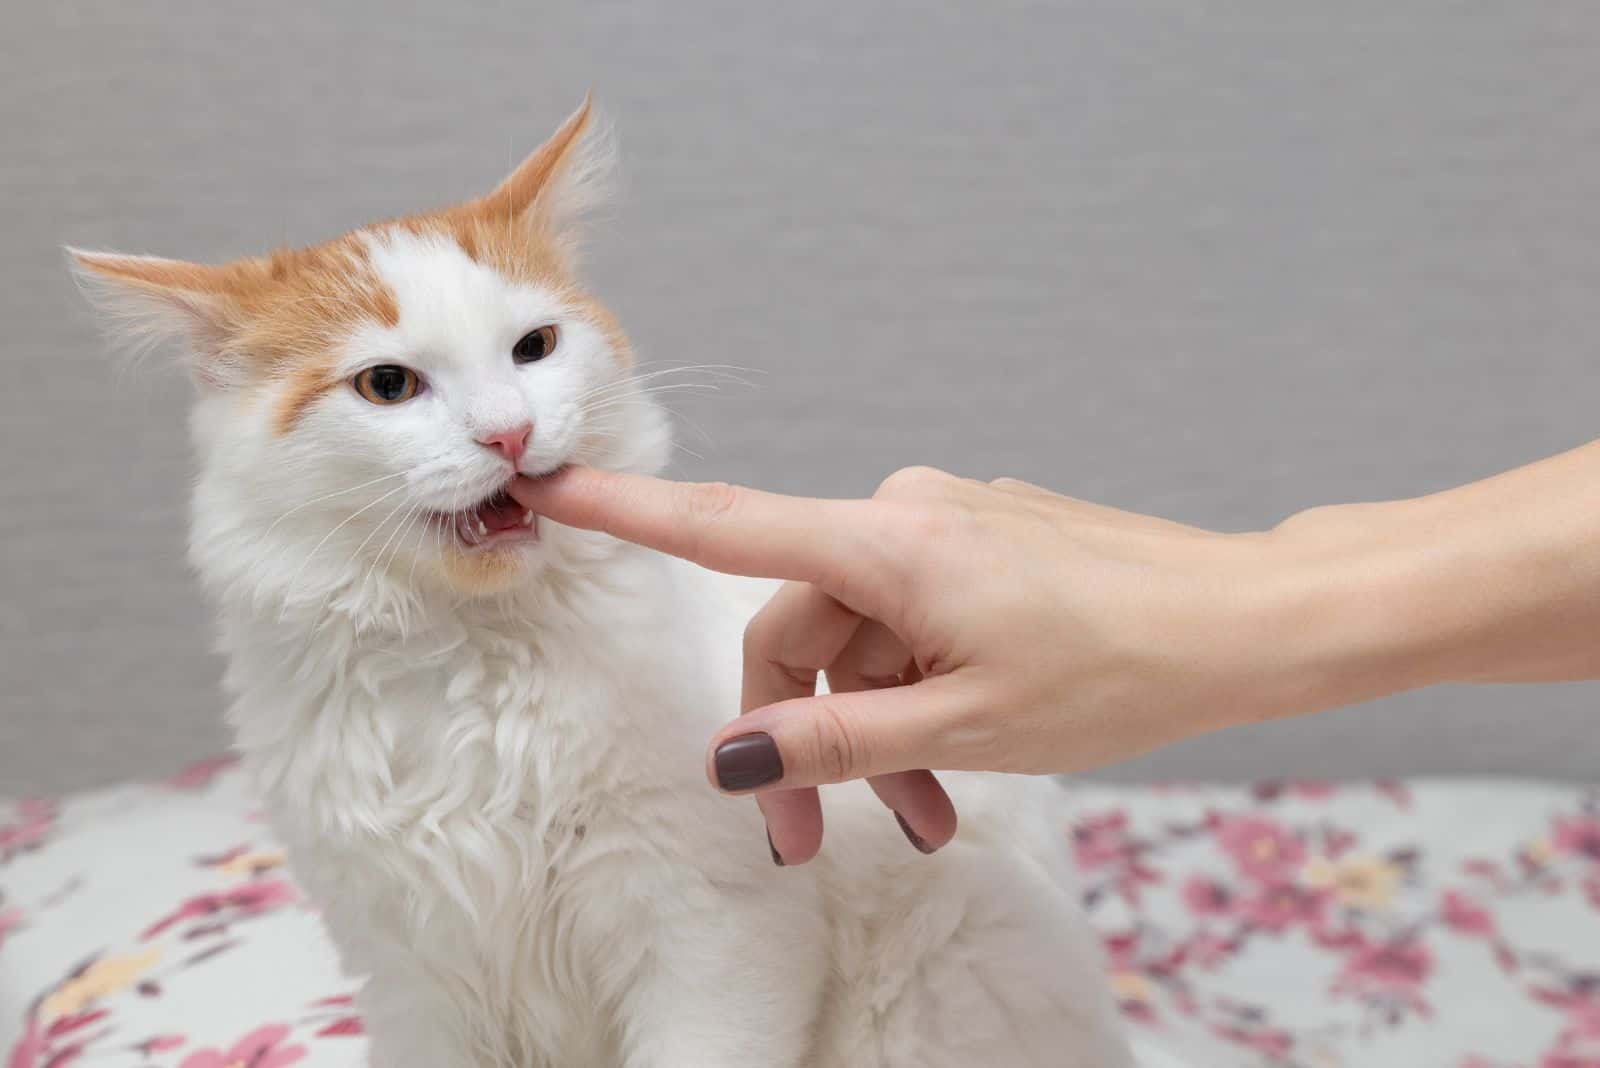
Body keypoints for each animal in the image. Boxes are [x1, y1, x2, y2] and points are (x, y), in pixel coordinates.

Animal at [68, 102, 1132, 1068]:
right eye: (387, 387)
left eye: (533, 348)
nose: (508, 433)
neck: (472, 667)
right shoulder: (410, 971)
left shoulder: (714, 935)